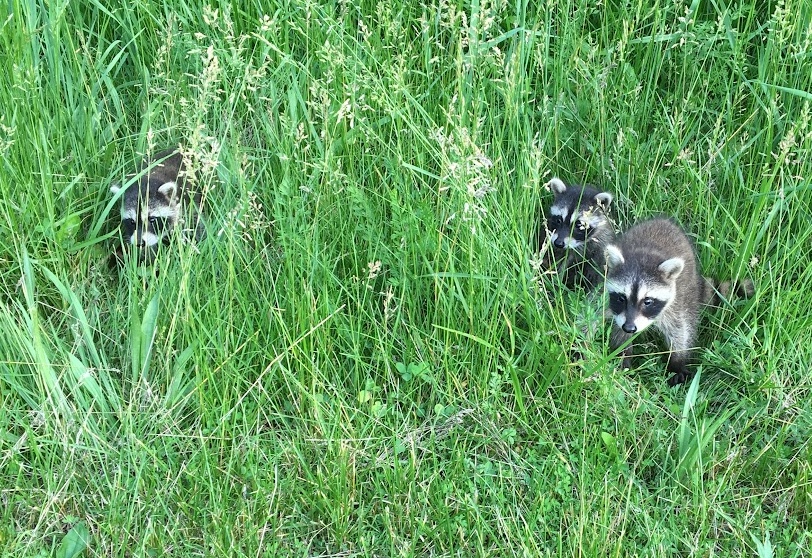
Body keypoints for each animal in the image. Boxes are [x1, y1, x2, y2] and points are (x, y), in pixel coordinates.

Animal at [604, 217, 754, 386]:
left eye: (647, 301)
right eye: (621, 298)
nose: (629, 328)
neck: (644, 255)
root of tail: (663, 220)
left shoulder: (675, 304)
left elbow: (680, 330)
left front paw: (677, 361)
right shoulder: (616, 310)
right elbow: (617, 329)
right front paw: (622, 355)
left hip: (689, 291)